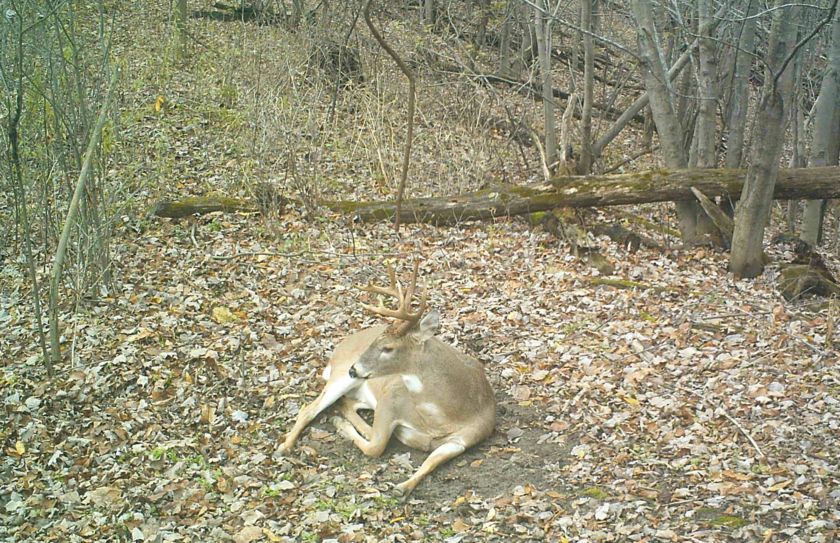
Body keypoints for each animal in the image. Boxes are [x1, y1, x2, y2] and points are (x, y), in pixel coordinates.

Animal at [278, 264, 496, 498]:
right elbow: (376, 446)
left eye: (388, 348)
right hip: (341, 377)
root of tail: (338, 350)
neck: (444, 417)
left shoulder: (467, 438)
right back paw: (285, 447)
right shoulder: (392, 395)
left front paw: (403, 487)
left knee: (348, 404)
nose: (354, 369)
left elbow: (431, 461)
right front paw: (343, 427)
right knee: (308, 410)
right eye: (376, 341)